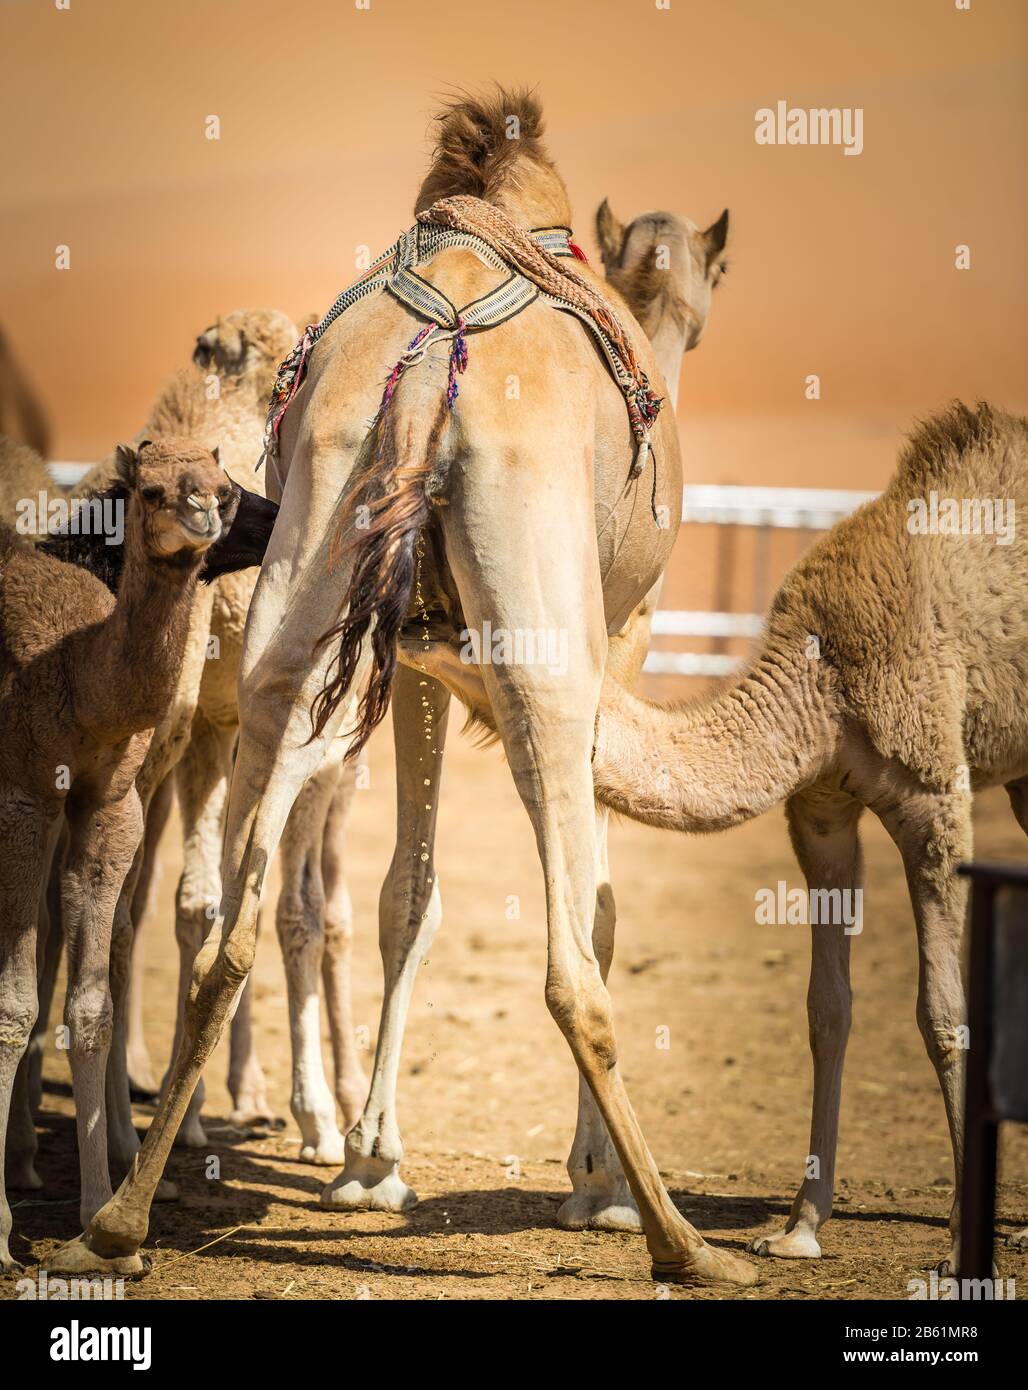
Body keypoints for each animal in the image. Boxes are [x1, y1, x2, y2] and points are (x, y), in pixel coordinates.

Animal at [0, 439, 238, 1273]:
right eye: (151, 489)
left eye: (225, 486)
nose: (203, 515)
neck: (78, 675)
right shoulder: (25, 798)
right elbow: (13, 1004)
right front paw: (3, 1238)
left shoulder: (107, 806)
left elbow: (90, 1005)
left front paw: (101, 1227)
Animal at [50, 89, 755, 1289]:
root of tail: (436, 370)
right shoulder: (621, 644)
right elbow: (597, 907)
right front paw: (584, 1183)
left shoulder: (415, 664)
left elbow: (403, 897)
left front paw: (372, 1161)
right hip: (541, 656)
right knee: (573, 967)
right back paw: (677, 1237)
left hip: (301, 593)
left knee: (227, 921)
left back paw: (124, 1214)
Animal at [586, 403, 1028, 1273]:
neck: (821, 676)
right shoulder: (821, 808)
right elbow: (827, 1009)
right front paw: (800, 1228)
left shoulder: (936, 796)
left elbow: (943, 1009)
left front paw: (964, 1238)